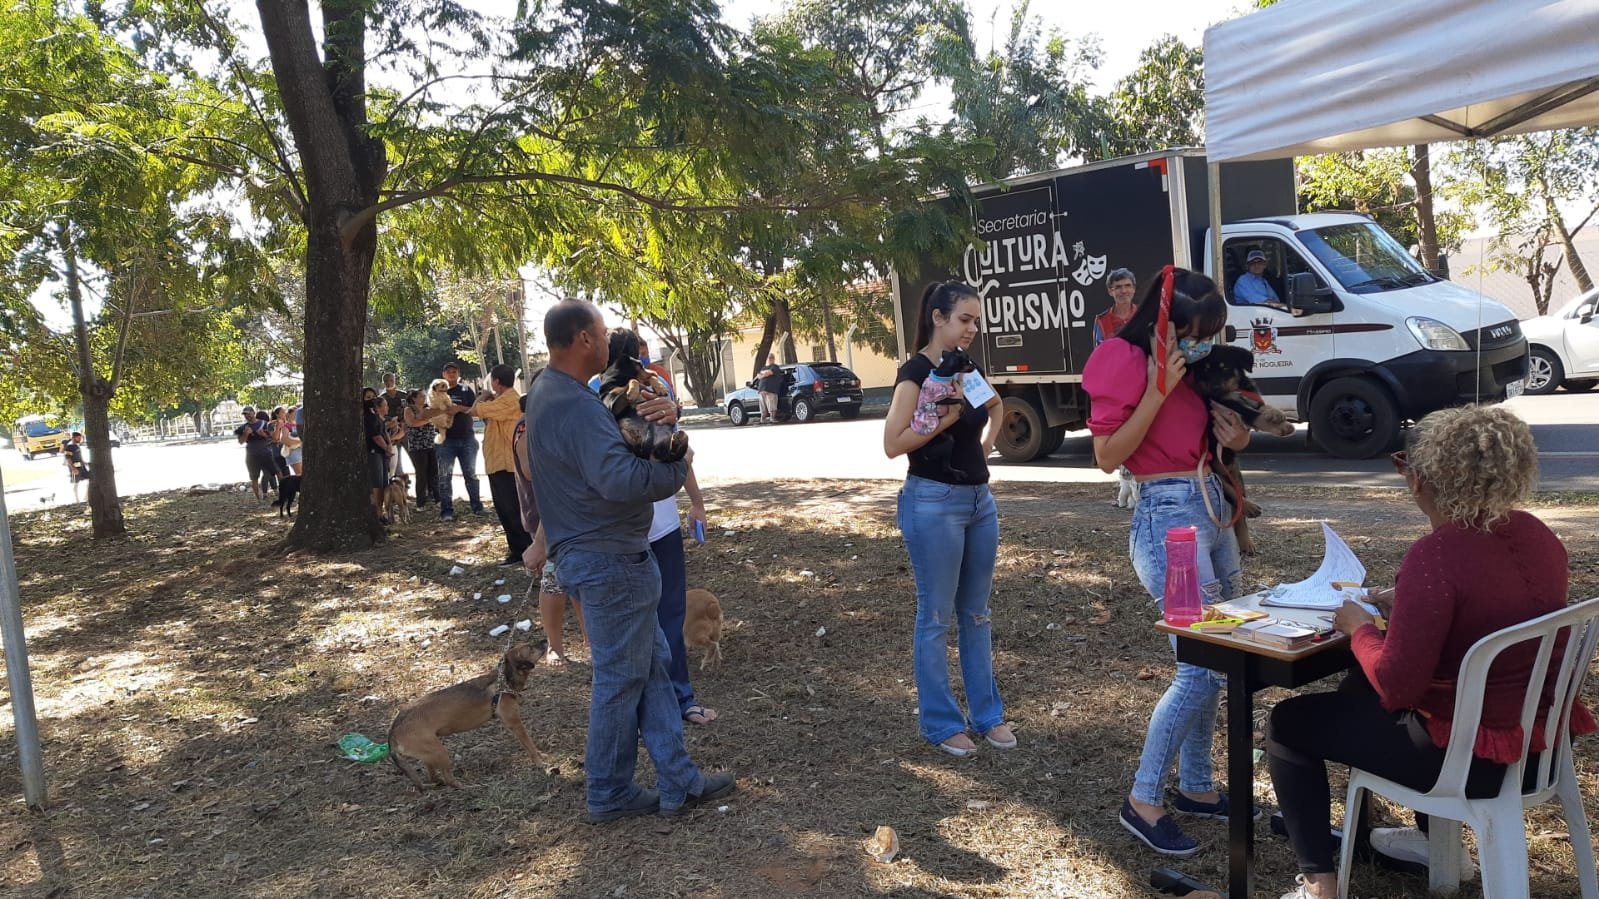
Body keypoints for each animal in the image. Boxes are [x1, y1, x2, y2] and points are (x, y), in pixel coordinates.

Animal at [386, 639, 543, 787]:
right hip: (439, 751)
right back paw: (466, 786)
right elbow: (529, 744)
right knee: (448, 778)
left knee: (433, 776)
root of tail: (393, 731)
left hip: (429, 755)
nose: (544, 641)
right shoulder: (515, 722)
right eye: (530, 648)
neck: (503, 678)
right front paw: (539, 762)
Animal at [1189, 342, 1298, 553]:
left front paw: (1277, 415)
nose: (1215, 387)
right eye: (1205, 370)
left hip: (1235, 473)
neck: (1235, 390)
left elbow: (1262, 406)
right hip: (1213, 467)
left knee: (1237, 507)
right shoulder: (1229, 407)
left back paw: (1246, 542)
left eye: (1224, 368)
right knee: (1229, 492)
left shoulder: (1249, 400)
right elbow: (1254, 414)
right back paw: (1250, 507)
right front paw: (1281, 426)